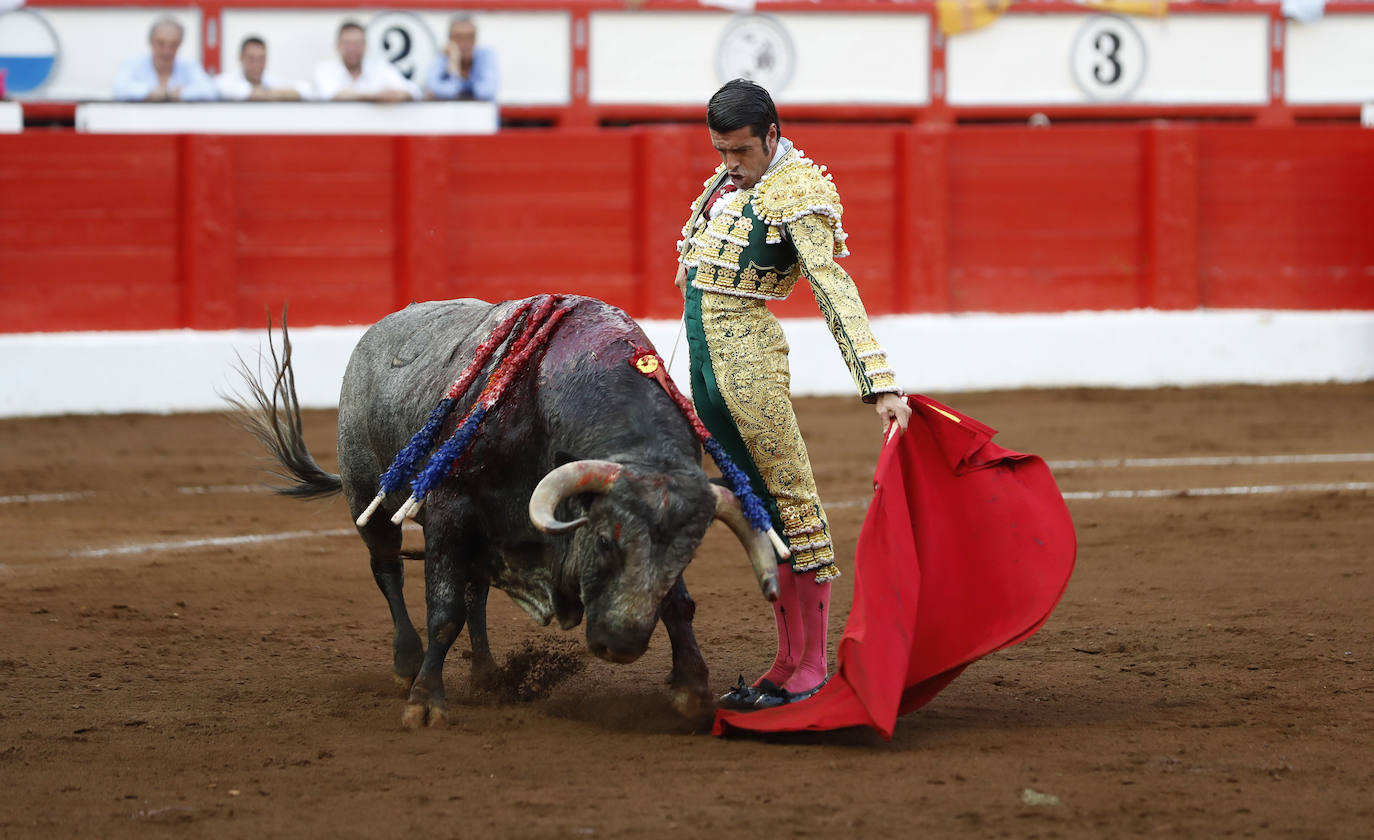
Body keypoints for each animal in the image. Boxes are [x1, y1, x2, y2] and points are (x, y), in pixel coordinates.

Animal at [230, 296, 780, 731]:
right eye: (604, 540)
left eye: (685, 557)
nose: (621, 644)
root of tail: (376, 333)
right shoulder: (450, 512)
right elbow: (443, 614)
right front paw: (425, 704)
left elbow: (676, 605)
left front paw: (692, 691)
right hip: (373, 500)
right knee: (388, 571)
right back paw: (407, 664)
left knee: (475, 593)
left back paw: (486, 674)